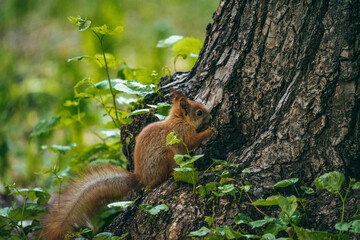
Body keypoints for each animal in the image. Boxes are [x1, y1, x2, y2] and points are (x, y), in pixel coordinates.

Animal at [41, 89, 214, 239]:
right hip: (165, 157)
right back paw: (170, 174)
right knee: (159, 179)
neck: (179, 120)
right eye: (199, 112)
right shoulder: (181, 134)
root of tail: (141, 177)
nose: (211, 116)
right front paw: (210, 131)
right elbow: (192, 142)